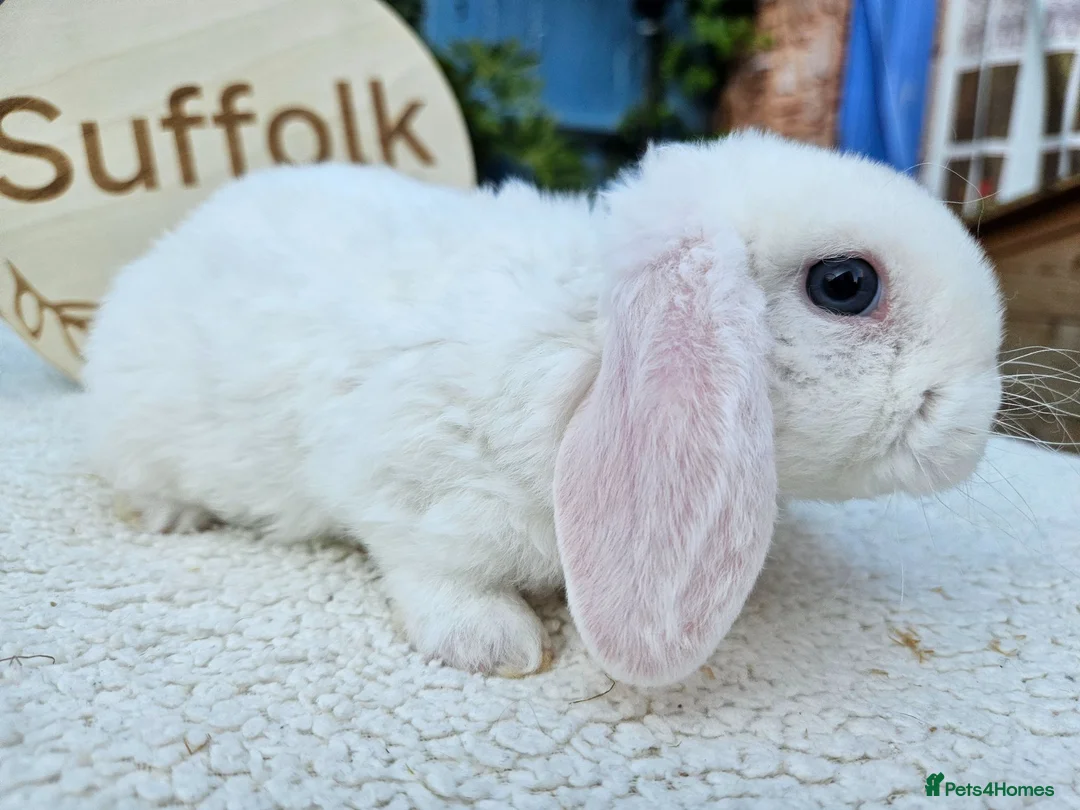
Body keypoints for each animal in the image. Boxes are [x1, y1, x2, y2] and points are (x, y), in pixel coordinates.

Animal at [80, 130, 1004, 688]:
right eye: (845, 285)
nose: (976, 421)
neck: (594, 343)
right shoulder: (412, 488)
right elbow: (433, 573)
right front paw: (500, 646)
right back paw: (168, 516)